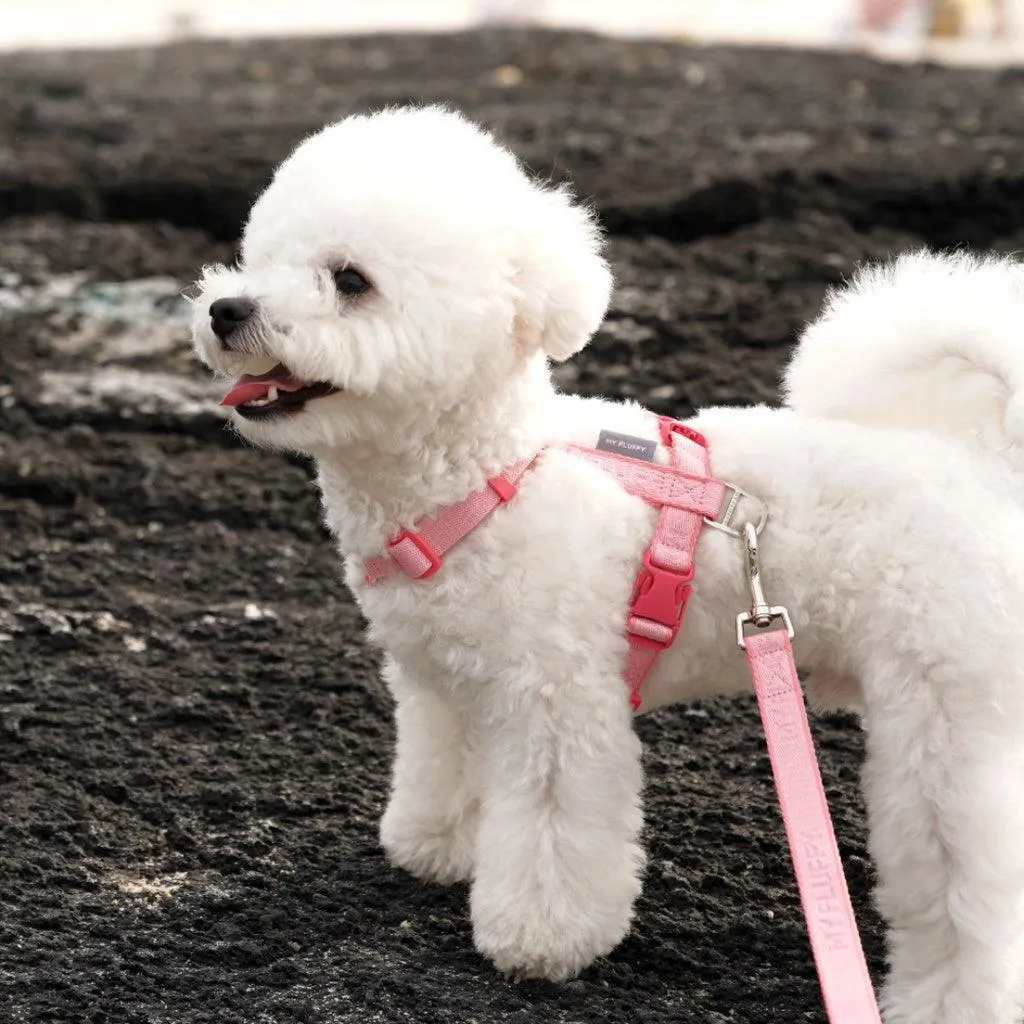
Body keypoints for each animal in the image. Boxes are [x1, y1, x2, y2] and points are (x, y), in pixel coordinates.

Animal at [188, 108, 1024, 1019]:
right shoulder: (449, 687)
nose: (226, 308)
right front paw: (437, 845)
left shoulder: (558, 706)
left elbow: (553, 834)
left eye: (350, 280)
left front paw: (538, 941)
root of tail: (979, 461)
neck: (492, 474)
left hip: (944, 728)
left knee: (963, 886)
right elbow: (448, 771)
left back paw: (950, 998)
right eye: (260, 256)